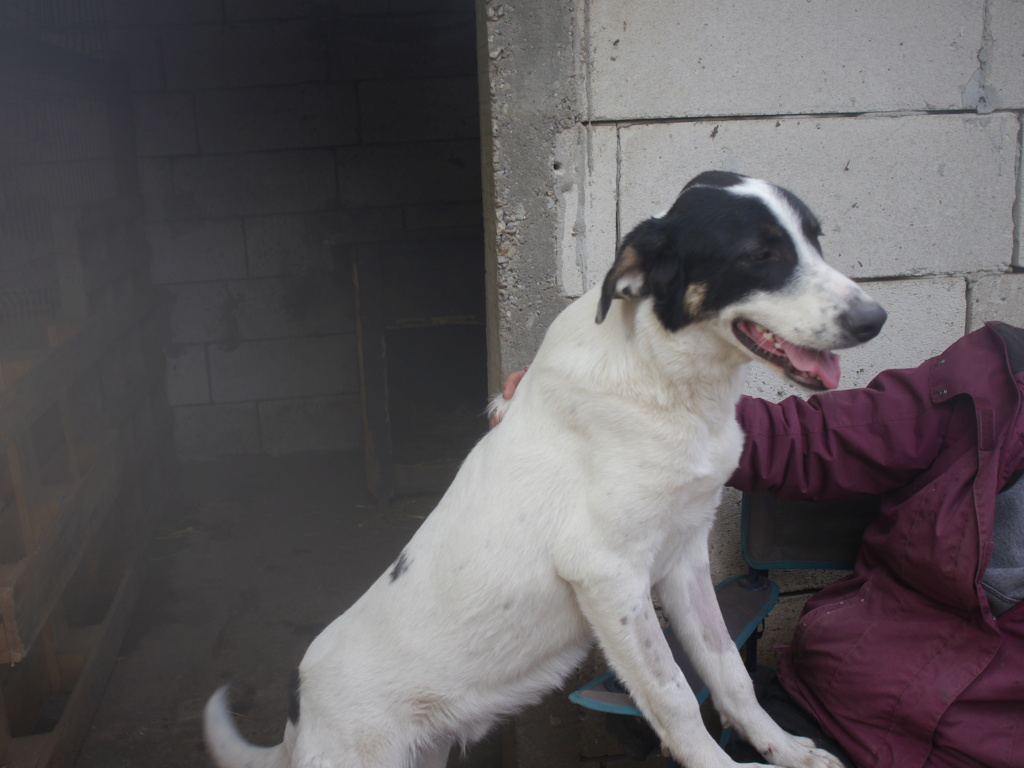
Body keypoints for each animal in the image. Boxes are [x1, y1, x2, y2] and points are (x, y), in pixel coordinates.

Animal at [203, 173, 884, 768]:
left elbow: (729, 672)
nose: (874, 319)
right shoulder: (607, 574)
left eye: (815, 239)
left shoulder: (684, 556)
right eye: (760, 255)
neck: (665, 376)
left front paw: (785, 750)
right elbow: (674, 696)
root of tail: (298, 708)